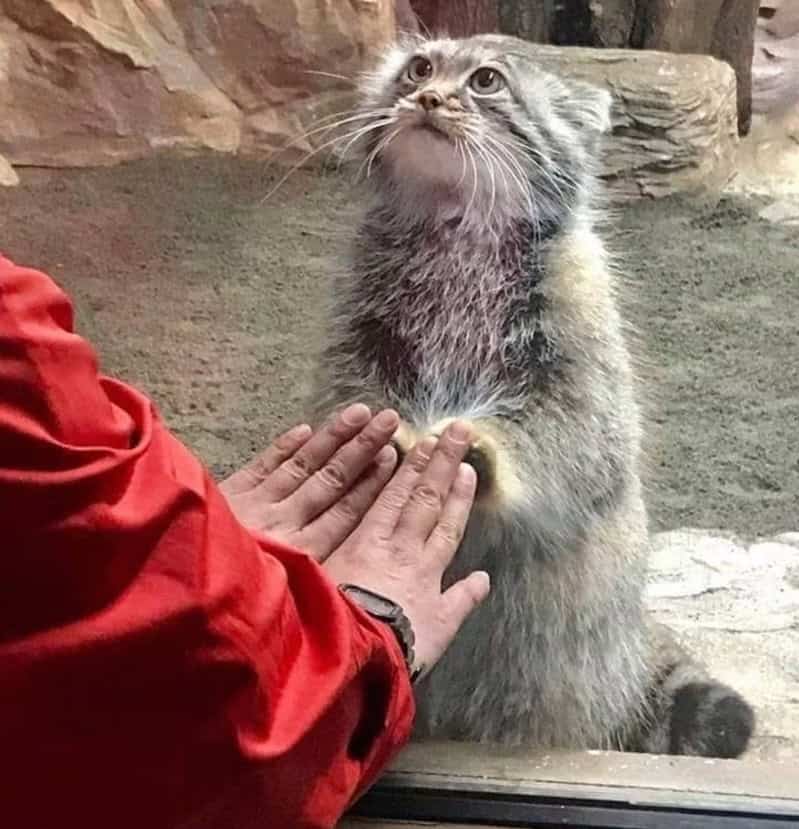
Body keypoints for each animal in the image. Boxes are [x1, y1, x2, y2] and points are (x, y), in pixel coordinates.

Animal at [305, 33, 754, 756]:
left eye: (486, 80)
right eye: (420, 68)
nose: (427, 98)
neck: (457, 229)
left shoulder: (580, 353)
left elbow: (574, 438)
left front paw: (479, 452)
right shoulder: (355, 336)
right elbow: (348, 400)